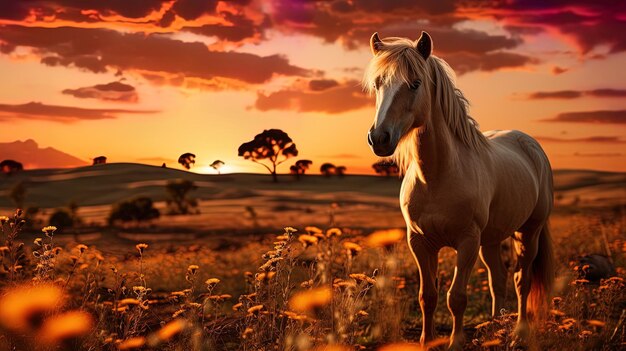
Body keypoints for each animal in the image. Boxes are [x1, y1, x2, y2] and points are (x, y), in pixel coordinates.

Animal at [364, 31, 552, 350]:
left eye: (415, 83)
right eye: (378, 84)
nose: (379, 138)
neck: (437, 177)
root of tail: (531, 145)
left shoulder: (467, 242)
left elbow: (457, 298)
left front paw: (454, 342)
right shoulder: (420, 242)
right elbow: (427, 296)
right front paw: (427, 341)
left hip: (528, 232)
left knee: (521, 280)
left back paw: (518, 332)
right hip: (491, 239)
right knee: (498, 279)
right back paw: (494, 330)